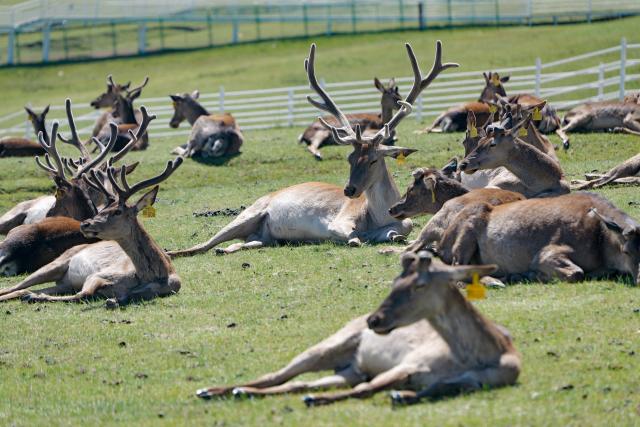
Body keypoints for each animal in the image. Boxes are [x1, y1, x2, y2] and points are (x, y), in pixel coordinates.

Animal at [0, 153, 184, 305]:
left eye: (117, 211)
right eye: (103, 209)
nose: (85, 224)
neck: (157, 275)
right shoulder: (98, 275)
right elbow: (84, 294)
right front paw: (35, 297)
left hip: (63, 283)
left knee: (22, 290)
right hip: (57, 262)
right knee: (13, 287)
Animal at [167, 41, 458, 257]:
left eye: (373, 160)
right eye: (350, 157)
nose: (349, 190)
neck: (376, 216)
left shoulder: (401, 225)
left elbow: (397, 233)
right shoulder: (339, 221)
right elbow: (353, 237)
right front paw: (354, 238)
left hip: (263, 235)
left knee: (247, 242)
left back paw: (227, 249)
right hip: (250, 211)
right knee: (204, 244)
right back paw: (173, 252)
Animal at [196, 251, 520, 406]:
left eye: (420, 284)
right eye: (394, 280)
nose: (374, 320)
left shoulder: (474, 382)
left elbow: (437, 389)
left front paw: (402, 396)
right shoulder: (410, 363)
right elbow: (366, 390)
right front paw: (318, 402)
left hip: (349, 369)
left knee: (295, 384)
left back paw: (241, 392)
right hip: (330, 345)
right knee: (277, 375)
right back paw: (211, 390)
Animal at [438, 192, 640, 285]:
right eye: (626, 251)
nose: (639, 280)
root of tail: (440, 246)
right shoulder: (546, 254)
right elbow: (577, 273)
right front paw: (532, 274)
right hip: (467, 232)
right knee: (457, 271)